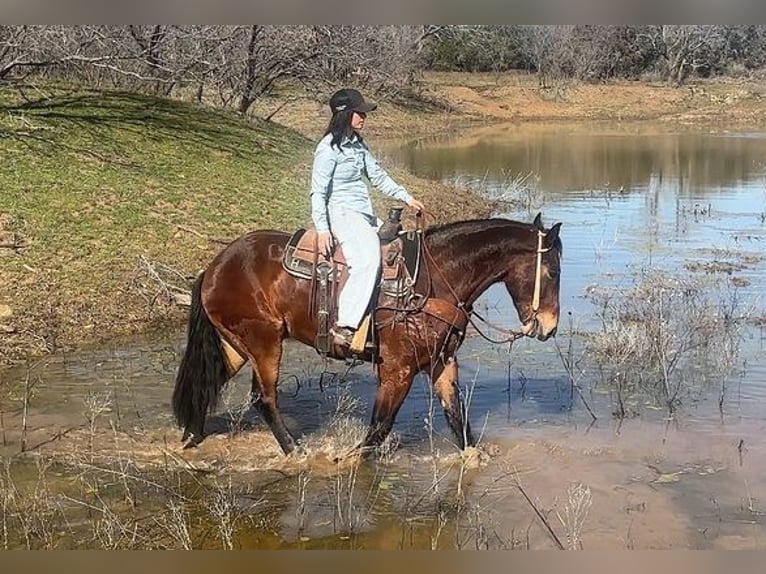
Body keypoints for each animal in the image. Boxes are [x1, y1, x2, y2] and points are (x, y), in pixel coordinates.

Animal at [174, 214, 564, 456]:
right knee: (263, 398)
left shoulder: (442, 363)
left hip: (237, 345)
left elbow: (458, 421)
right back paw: (296, 452)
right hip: (263, 342)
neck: (430, 281)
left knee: (209, 381)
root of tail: (214, 266)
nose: (548, 326)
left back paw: (192, 436)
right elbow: (378, 430)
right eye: (553, 271)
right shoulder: (397, 370)